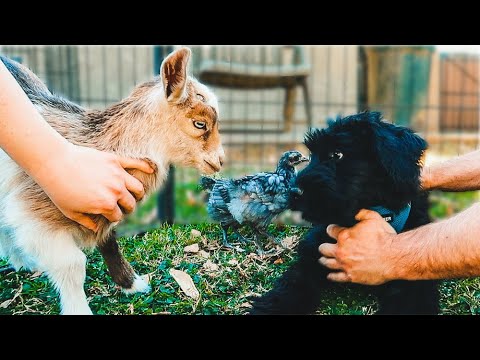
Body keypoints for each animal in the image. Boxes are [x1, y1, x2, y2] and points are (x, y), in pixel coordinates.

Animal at [251, 111, 438, 314]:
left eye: (337, 154)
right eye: (312, 154)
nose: (293, 192)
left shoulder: (412, 280)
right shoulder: (310, 258)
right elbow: (292, 286)